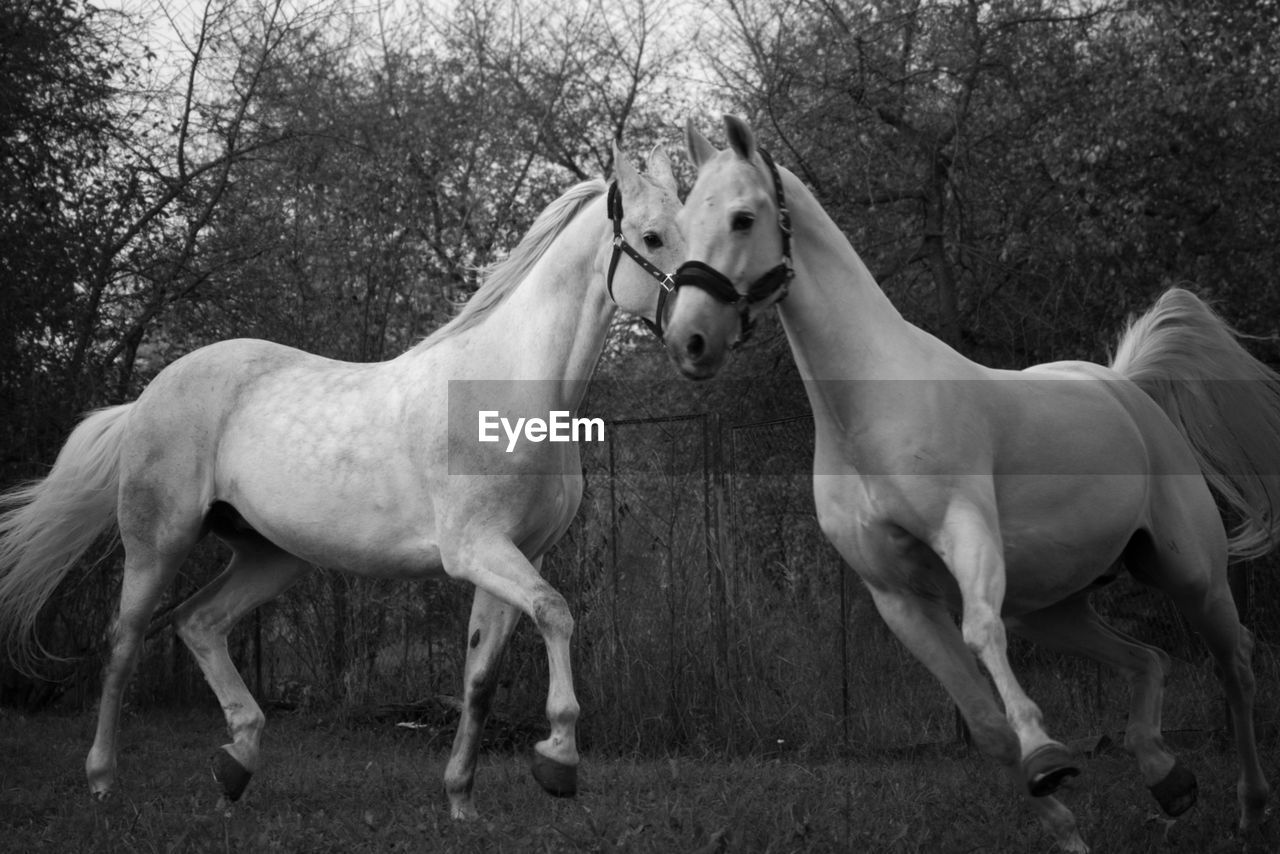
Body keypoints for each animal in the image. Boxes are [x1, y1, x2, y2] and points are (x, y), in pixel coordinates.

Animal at [0, 143, 691, 819]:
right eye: (652, 238)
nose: (697, 337)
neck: (509, 390)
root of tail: (146, 397)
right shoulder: (476, 550)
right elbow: (555, 612)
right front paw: (558, 759)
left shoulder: (520, 554)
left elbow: (481, 677)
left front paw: (462, 800)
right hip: (157, 542)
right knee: (123, 644)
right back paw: (103, 780)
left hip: (271, 554)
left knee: (197, 623)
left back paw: (236, 763)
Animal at [660, 115, 1280, 854]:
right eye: (679, 226)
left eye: (743, 217)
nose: (689, 341)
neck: (868, 410)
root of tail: (1123, 385)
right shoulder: (897, 597)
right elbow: (983, 725)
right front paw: (1063, 825)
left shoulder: (965, 535)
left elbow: (982, 634)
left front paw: (1046, 752)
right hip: (1053, 606)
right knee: (1147, 659)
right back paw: (1167, 775)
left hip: (1192, 577)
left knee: (1237, 666)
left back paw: (1251, 810)